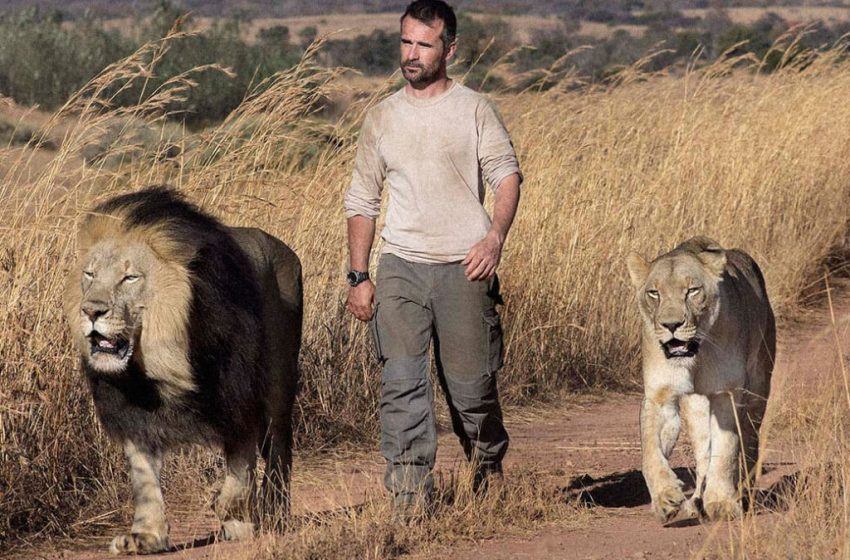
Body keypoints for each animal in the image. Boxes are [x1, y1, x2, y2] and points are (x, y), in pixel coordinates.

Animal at [63, 187, 302, 552]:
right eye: (89, 275)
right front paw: (146, 535)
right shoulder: (132, 412)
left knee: (279, 447)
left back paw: (274, 512)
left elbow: (240, 468)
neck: (161, 362)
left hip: (278, 381)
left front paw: (230, 512)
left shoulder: (238, 396)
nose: (90, 311)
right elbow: (144, 477)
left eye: (129, 277)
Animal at [624, 237, 776, 524]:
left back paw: (744, 494)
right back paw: (696, 501)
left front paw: (722, 502)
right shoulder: (659, 396)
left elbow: (726, 449)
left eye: (692, 291)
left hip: (758, 391)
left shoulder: (727, 392)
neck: (697, 355)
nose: (671, 324)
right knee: (704, 451)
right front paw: (665, 497)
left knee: (749, 441)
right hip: (696, 408)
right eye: (654, 293)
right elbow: (650, 451)